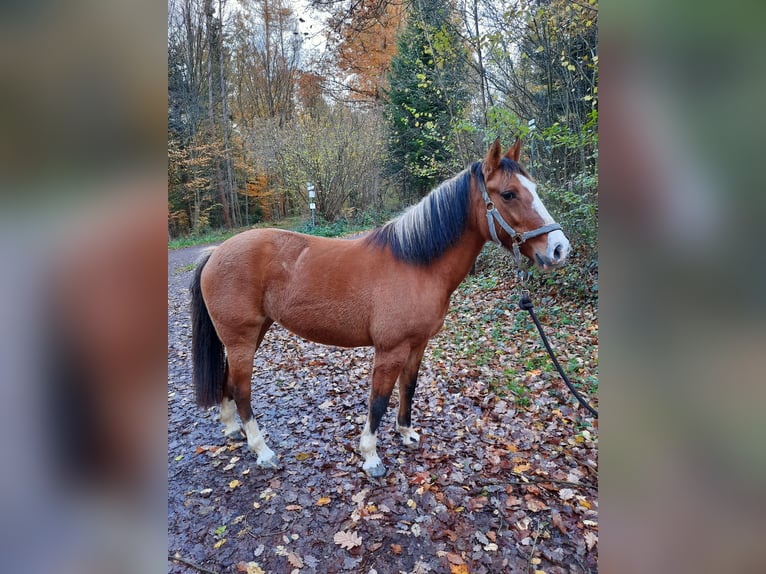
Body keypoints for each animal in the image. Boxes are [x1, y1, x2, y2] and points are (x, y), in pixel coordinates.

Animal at [190, 142, 568, 480]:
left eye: (533, 188)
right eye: (508, 194)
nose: (559, 248)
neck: (417, 264)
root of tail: (216, 252)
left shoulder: (417, 345)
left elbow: (408, 388)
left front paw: (406, 434)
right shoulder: (390, 350)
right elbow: (379, 400)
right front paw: (371, 457)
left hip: (252, 334)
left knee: (228, 380)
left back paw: (233, 430)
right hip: (241, 338)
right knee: (242, 389)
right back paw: (262, 450)